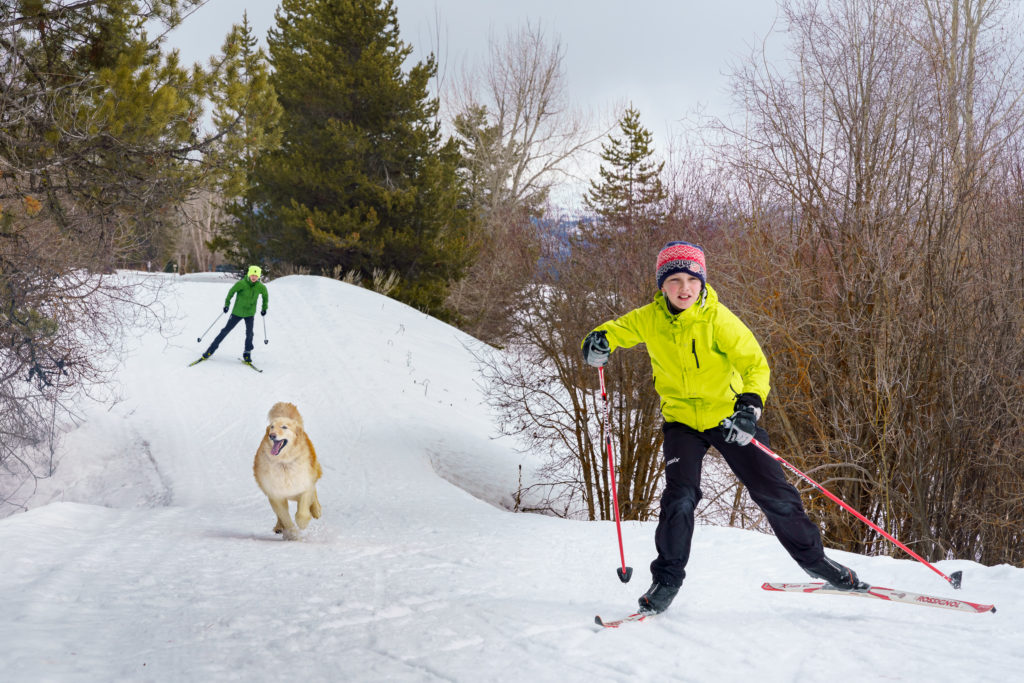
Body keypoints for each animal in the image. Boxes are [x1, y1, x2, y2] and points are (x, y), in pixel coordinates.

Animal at [251, 401, 319, 540]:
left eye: (284, 427)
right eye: (272, 427)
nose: (272, 435)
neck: (284, 463)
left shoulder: (304, 484)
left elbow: (303, 510)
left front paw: (302, 522)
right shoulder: (275, 494)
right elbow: (285, 517)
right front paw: (292, 534)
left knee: (314, 493)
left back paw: (316, 510)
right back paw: (279, 527)